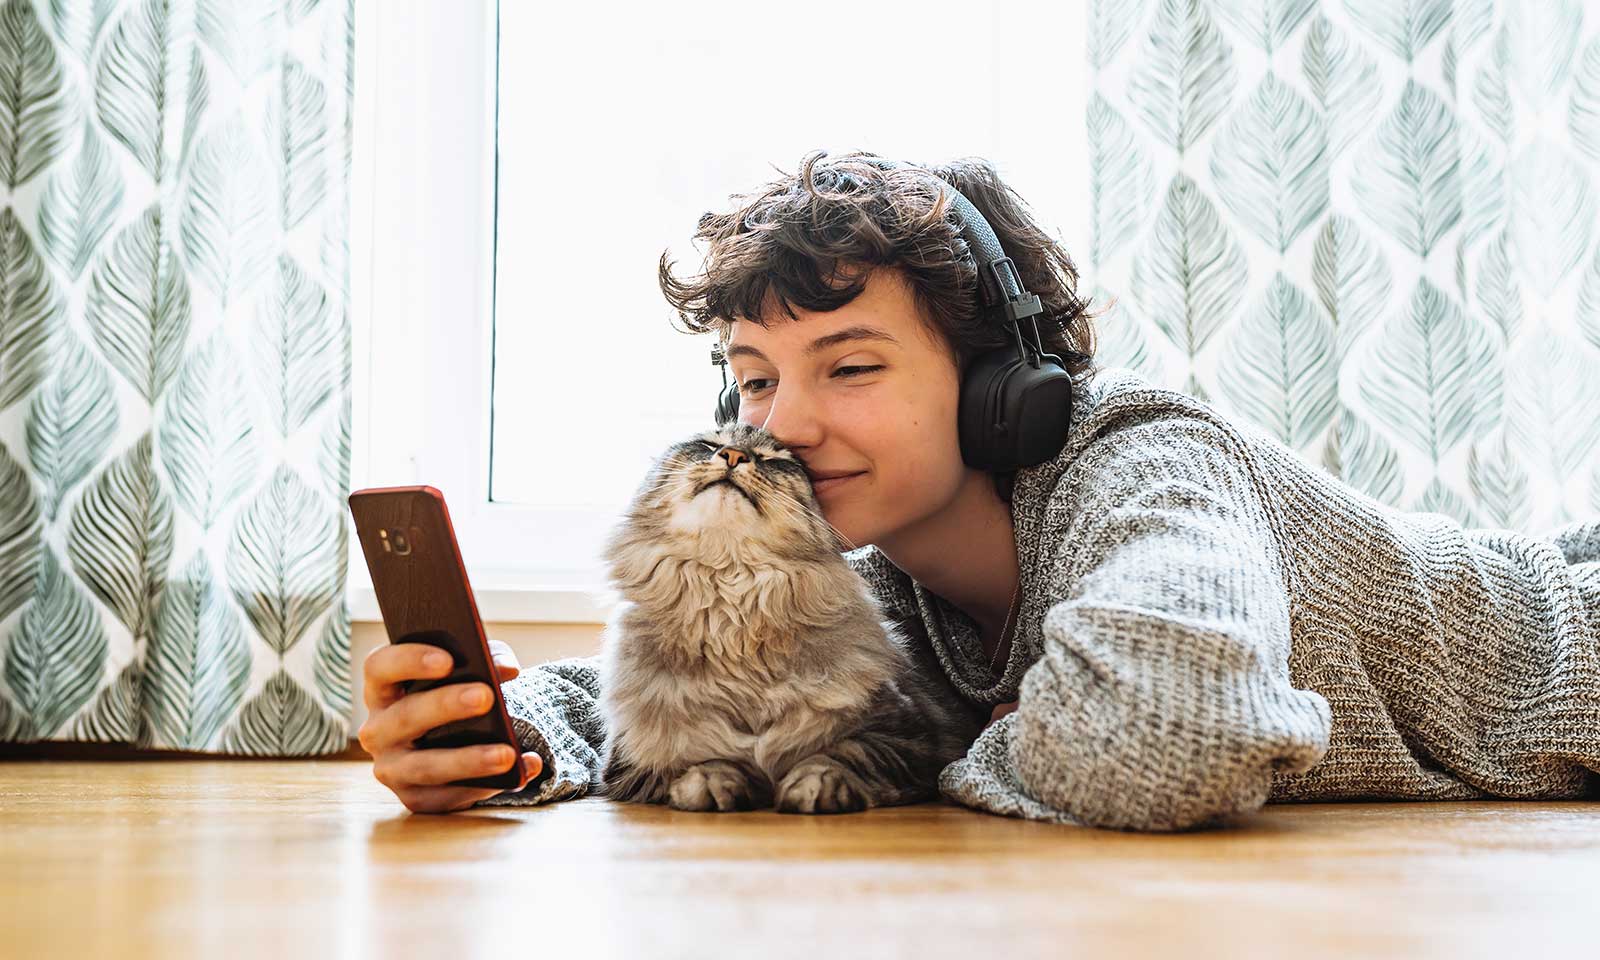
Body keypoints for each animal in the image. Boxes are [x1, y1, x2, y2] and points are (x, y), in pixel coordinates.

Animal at [598, 419, 985, 809]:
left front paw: (814, 785)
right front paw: (711, 782)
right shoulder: (630, 758)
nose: (733, 455)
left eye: (776, 460)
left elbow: (846, 753)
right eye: (708, 445)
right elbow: (705, 757)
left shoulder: (909, 733)